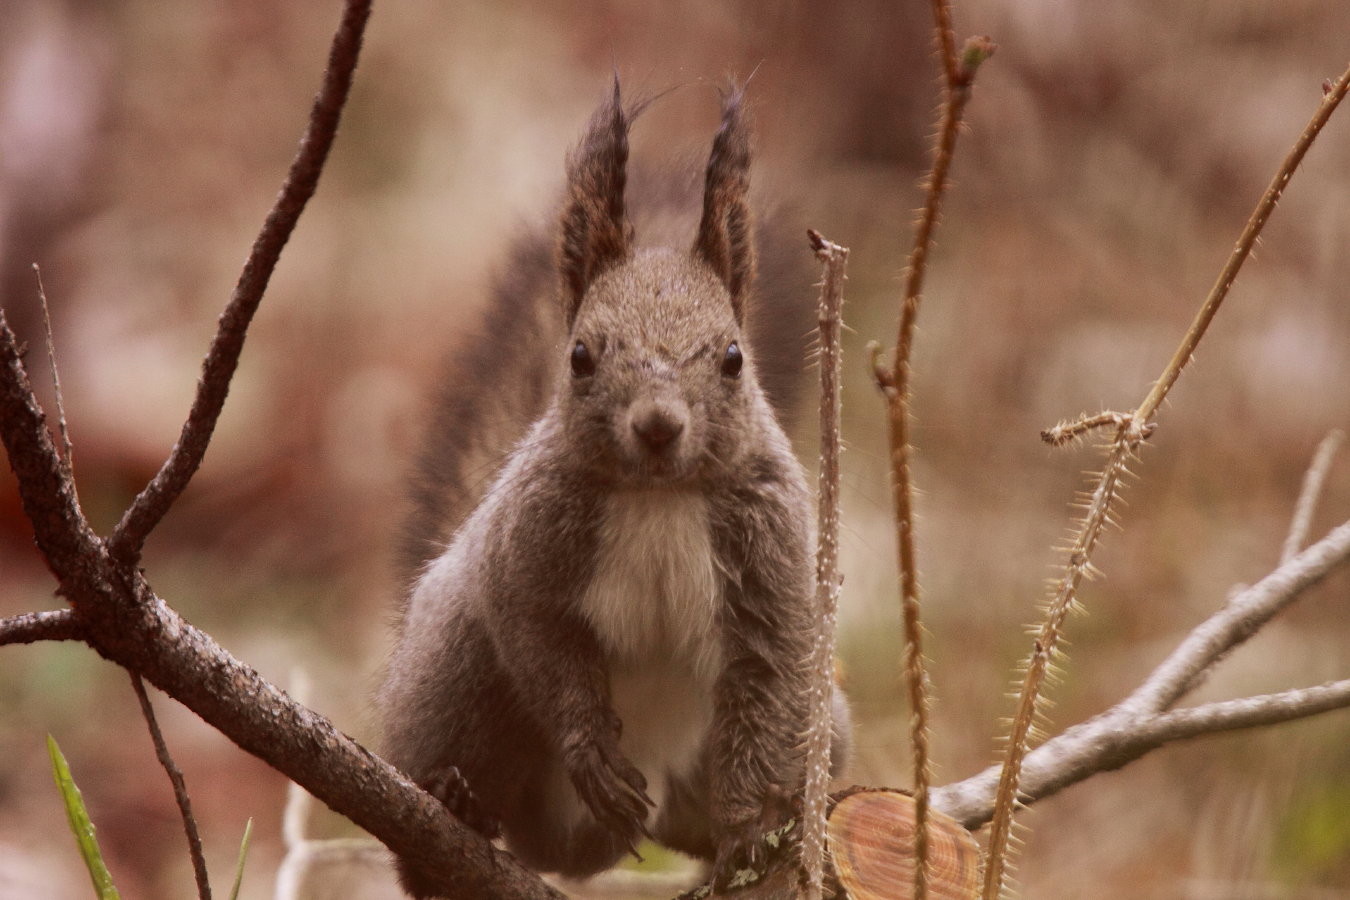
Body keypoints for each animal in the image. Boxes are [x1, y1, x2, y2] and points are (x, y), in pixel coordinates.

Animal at [378, 80, 842, 895]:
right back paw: (458, 805)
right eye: (580, 356)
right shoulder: (526, 544)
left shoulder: (776, 555)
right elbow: (539, 635)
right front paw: (589, 747)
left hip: (823, 724)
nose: (657, 425)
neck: (658, 495)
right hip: (454, 662)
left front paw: (750, 830)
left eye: (733, 357)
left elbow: (768, 677)